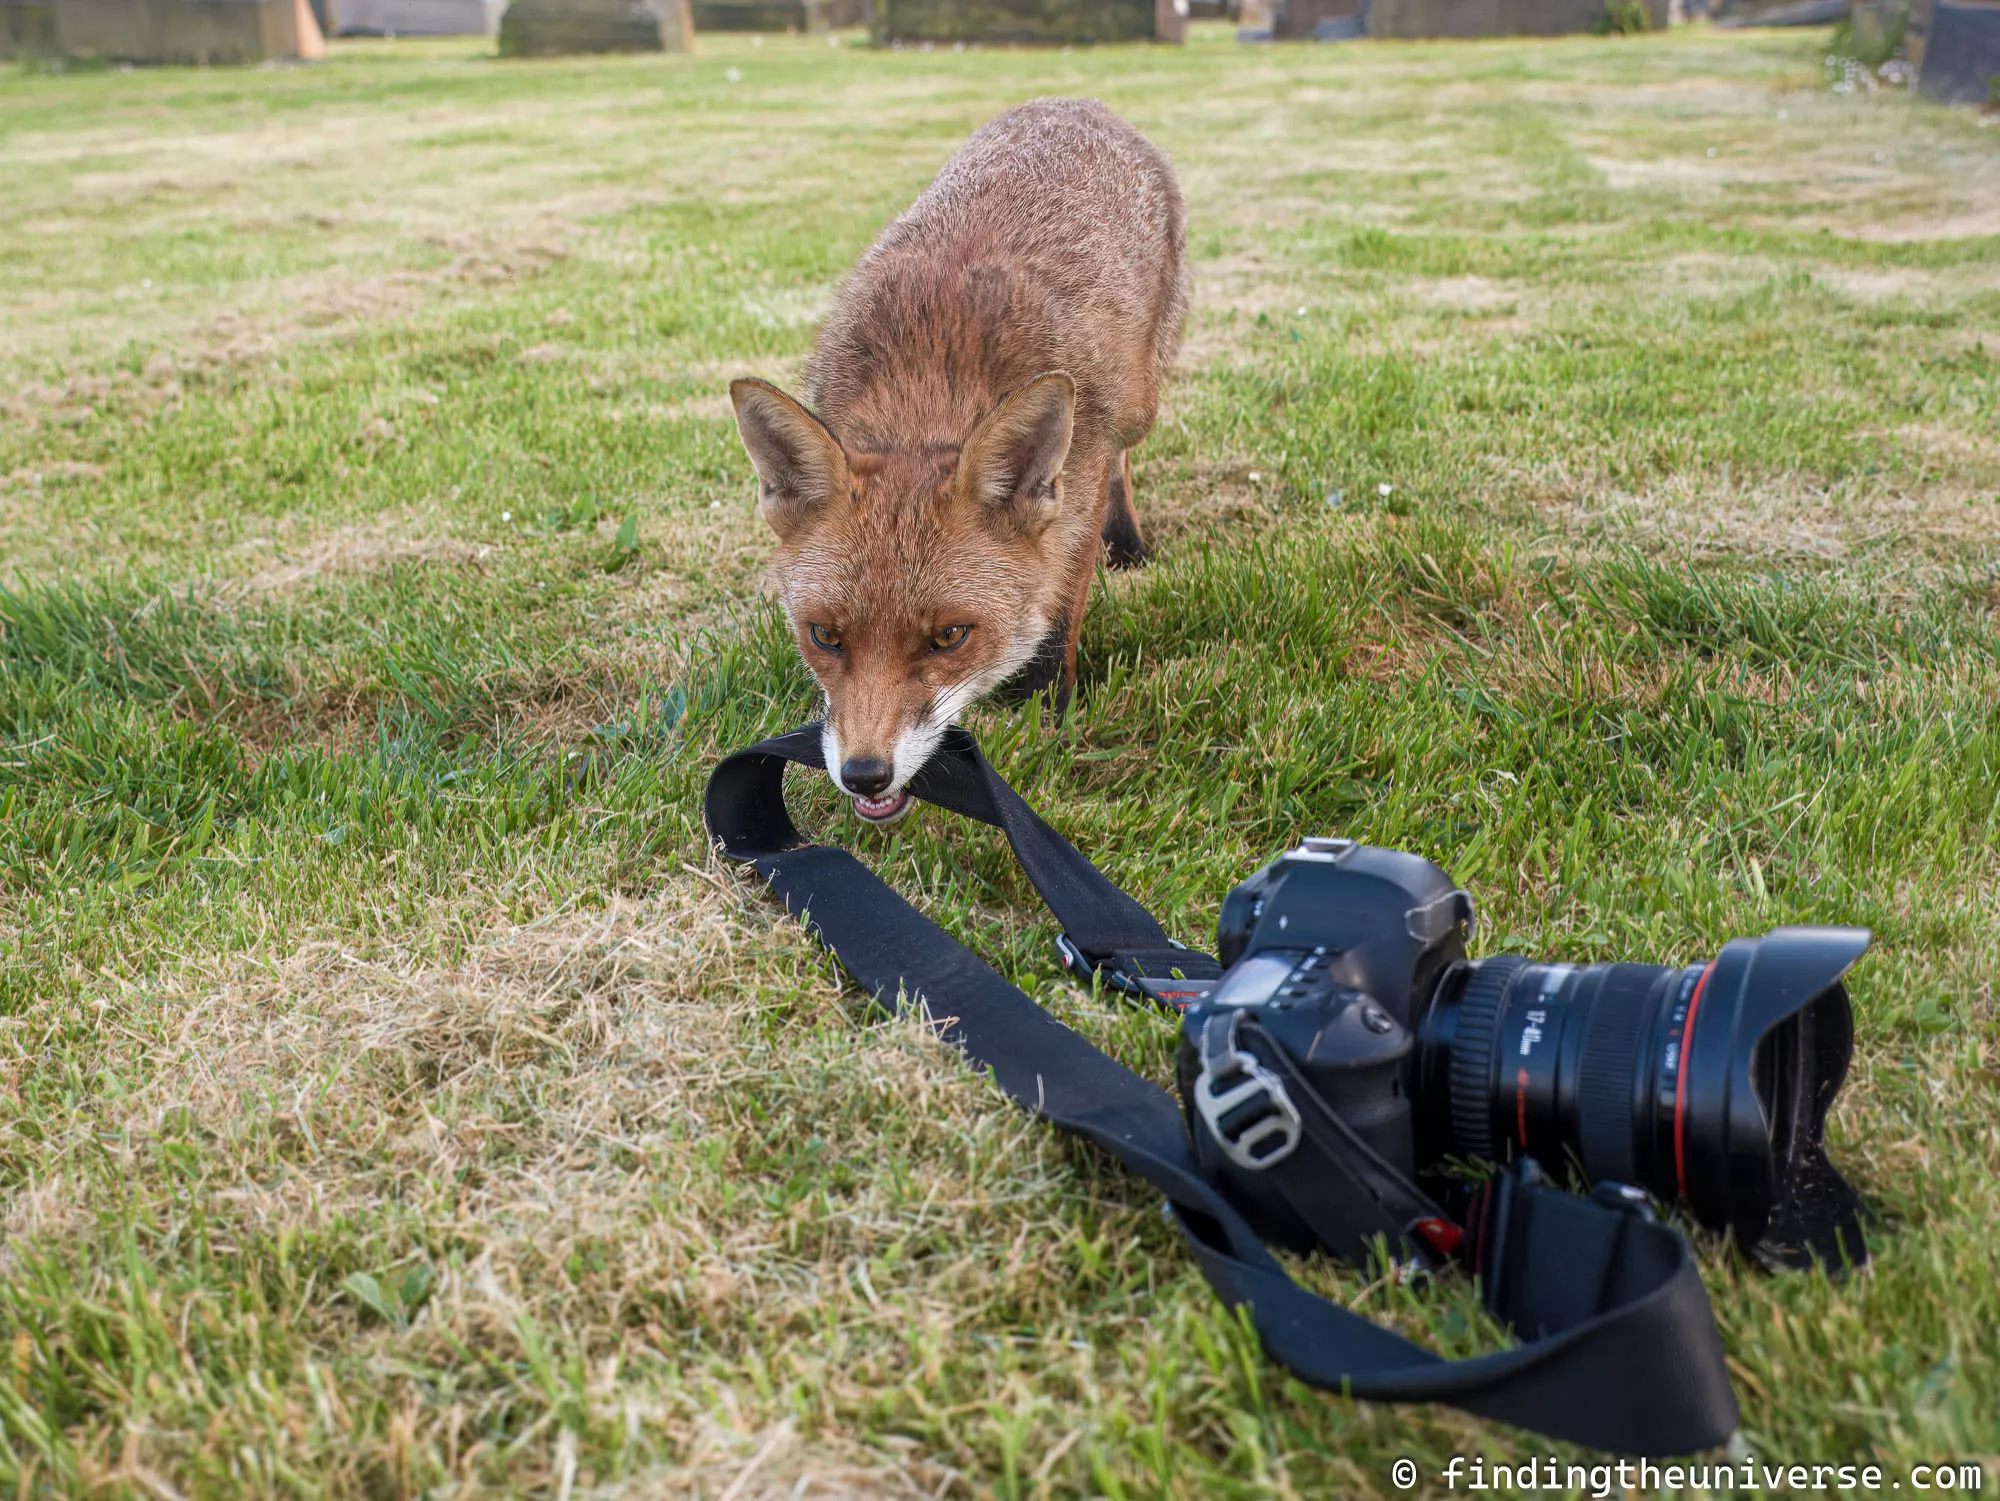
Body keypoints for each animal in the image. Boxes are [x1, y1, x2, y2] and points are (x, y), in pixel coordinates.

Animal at [729, 97, 1188, 825]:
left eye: (949, 637)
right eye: (824, 636)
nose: (864, 775)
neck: (926, 387)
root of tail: (1075, 102)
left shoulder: (1072, 507)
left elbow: (1056, 629)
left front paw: (1046, 722)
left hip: (1138, 404)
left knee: (1124, 457)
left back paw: (1131, 545)